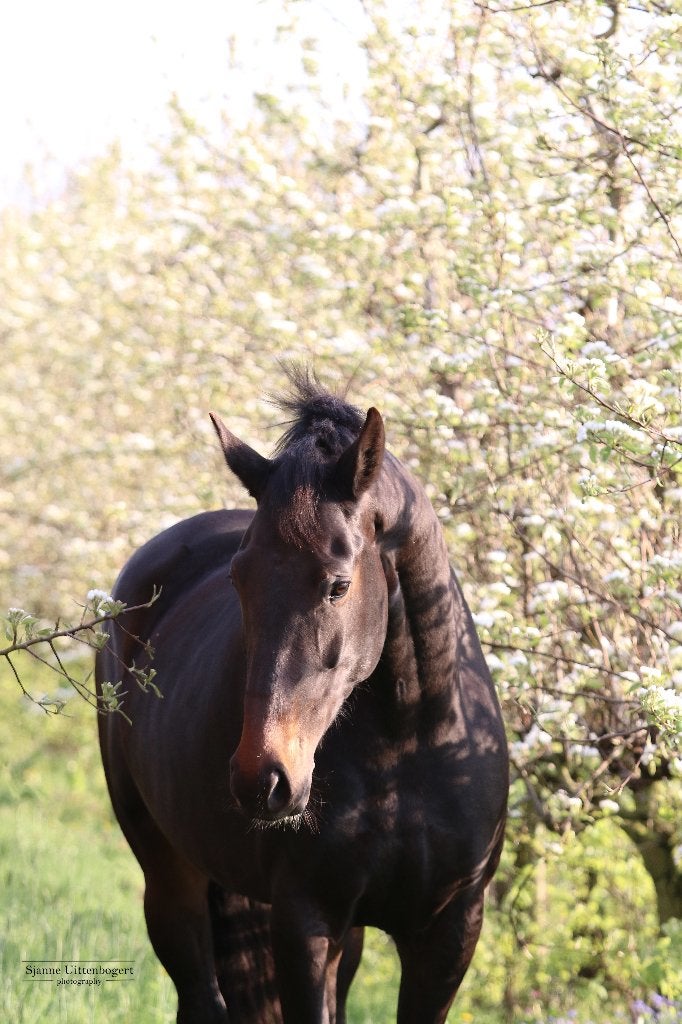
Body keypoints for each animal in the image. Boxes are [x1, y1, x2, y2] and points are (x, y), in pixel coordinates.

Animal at [96, 374, 508, 1024]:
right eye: (238, 579)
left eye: (338, 584)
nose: (261, 777)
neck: (411, 747)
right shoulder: (305, 924)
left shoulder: (448, 932)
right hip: (169, 877)